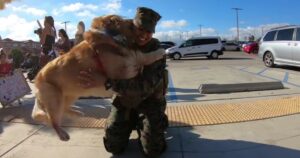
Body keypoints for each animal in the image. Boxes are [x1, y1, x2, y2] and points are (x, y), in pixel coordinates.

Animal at [31, 14, 165, 141]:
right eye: (115, 20)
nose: (135, 24)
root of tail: (37, 78)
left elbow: (143, 57)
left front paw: (159, 52)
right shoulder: (126, 72)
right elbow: (139, 60)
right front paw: (160, 52)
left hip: (70, 95)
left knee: (62, 109)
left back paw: (76, 113)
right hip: (55, 100)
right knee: (52, 119)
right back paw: (62, 133)